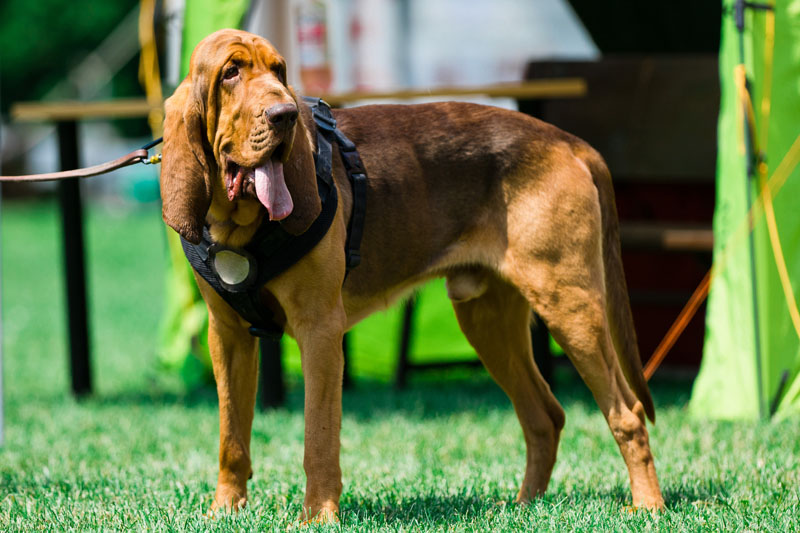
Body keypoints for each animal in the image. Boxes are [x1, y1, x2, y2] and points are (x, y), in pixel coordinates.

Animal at [159, 29, 664, 520]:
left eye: (279, 71)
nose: (285, 114)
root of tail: (566, 140)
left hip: (570, 306)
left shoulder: (320, 330)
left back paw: (648, 505)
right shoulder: (227, 336)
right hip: (487, 319)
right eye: (230, 72)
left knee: (627, 413)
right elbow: (232, 436)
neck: (241, 227)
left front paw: (319, 516)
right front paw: (225, 510)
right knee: (545, 415)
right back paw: (525, 505)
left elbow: (318, 438)